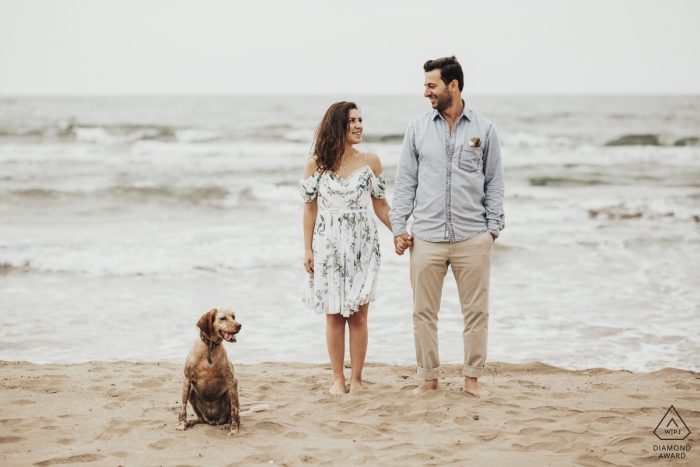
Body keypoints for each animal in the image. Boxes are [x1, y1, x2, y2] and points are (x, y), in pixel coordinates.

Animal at [176, 308, 242, 436]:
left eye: (233, 317)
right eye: (222, 318)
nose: (239, 325)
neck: (210, 347)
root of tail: (214, 421)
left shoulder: (232, 381)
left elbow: (234, 410)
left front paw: (234, 429)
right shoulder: (187, 380)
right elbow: (182, 408)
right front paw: (182, 425)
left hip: (228, 393)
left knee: (231, 416)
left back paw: (228, 425)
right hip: (192, 393)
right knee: (201, 419)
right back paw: (191, 422)